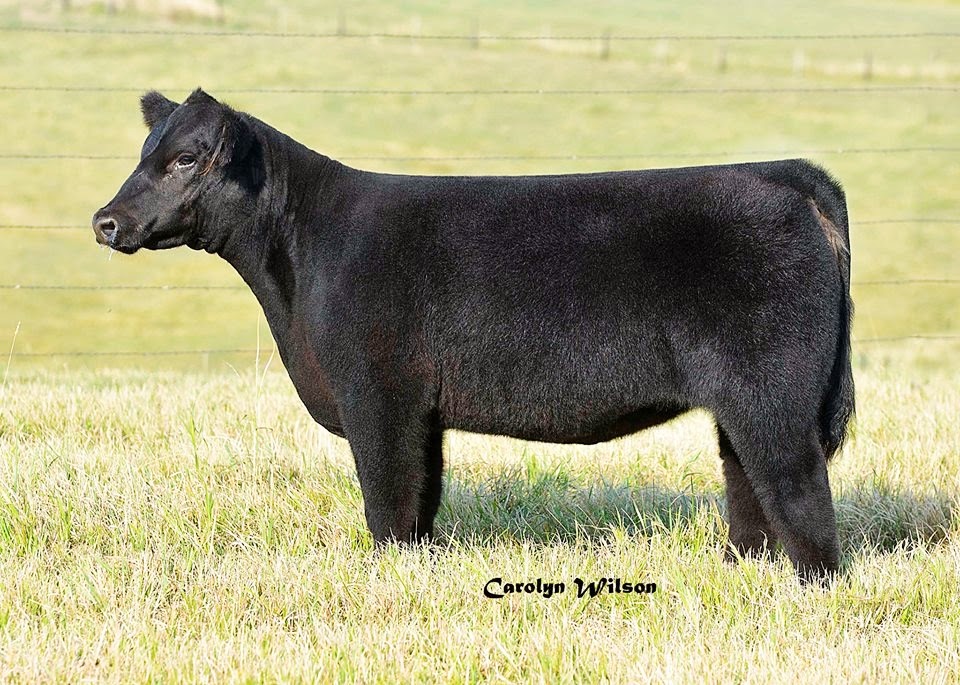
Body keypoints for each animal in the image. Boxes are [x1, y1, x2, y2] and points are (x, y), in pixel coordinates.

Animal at [92, 89, 854, 582]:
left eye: (186, 158)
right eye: (145, 151)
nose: (105, 221)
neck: (297, 266)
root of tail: (786, 174)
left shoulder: (379, 396)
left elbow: (389, 496)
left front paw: (389, 578)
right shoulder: (419, 411)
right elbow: (422, 497)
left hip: (771, 391)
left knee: (796, 484)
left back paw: (811, 585)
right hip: (741, 400)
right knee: (746, 478)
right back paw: (742, 569)